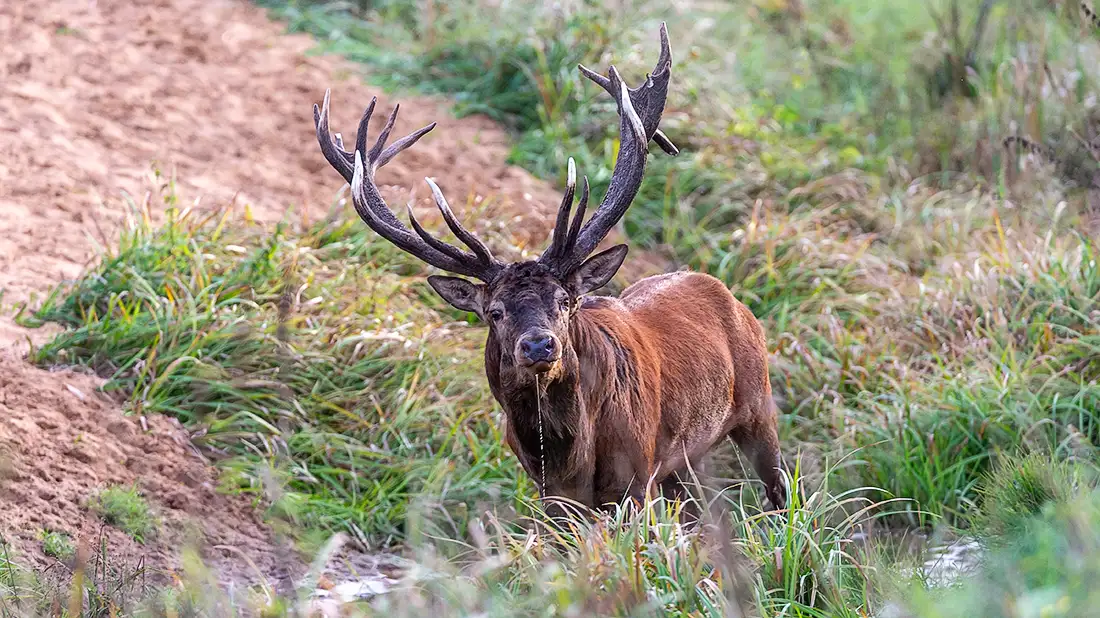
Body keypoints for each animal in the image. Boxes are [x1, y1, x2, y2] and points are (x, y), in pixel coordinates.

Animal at [314, 22, 787, 514]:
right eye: (494, 312)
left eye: (565, 301)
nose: (539, 345)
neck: (570, 453)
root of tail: (727, 294)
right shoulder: (554, 495)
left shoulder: (635, 477)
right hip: (682, 461)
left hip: (758, 404)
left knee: (780, 486)